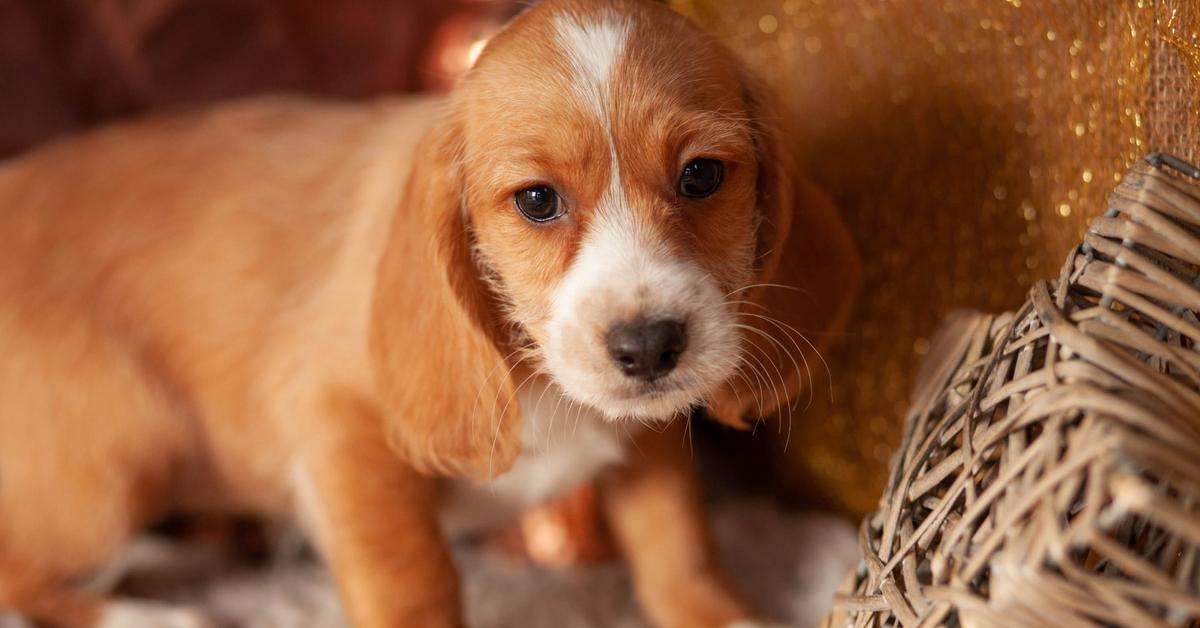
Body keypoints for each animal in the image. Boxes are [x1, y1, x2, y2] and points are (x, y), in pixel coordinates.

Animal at [0, 0, 864, 624]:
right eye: (537, 201)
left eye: (702, 177)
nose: (650, 347)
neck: (539, 381)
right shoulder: (343, 435)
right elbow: (413, 579)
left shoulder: (646, 441)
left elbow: (678, 545)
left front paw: (720, 612)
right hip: (117, 465)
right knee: (21, 575)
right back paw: (153, 613)